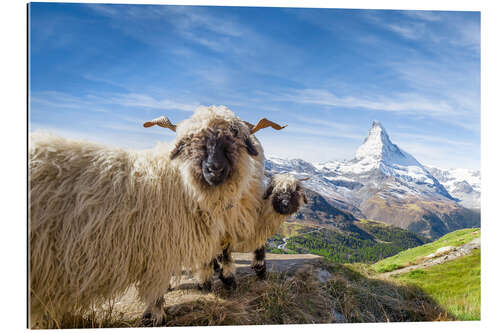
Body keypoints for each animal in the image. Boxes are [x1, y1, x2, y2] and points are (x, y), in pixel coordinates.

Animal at [28, 104, 286, 326]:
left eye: (234, 136)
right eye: (189, 141)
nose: (215, 169)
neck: (179, 183)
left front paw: (221, 280)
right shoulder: (159, 249)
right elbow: (160, 286)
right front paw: (157, 314)